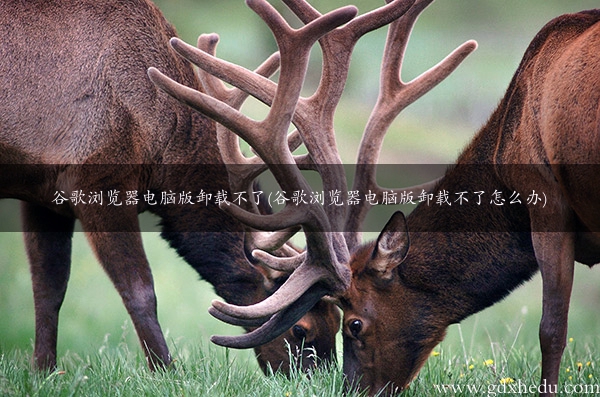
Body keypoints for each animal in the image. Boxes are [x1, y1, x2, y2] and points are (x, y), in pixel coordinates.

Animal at [0, 0, 344, 374]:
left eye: (338, 322)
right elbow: (139, 289)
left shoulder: (43, 195)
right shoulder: (97, 181)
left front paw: (43, 370)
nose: (320, 379)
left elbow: (48, 289)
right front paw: (165, 370)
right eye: (301, 329)